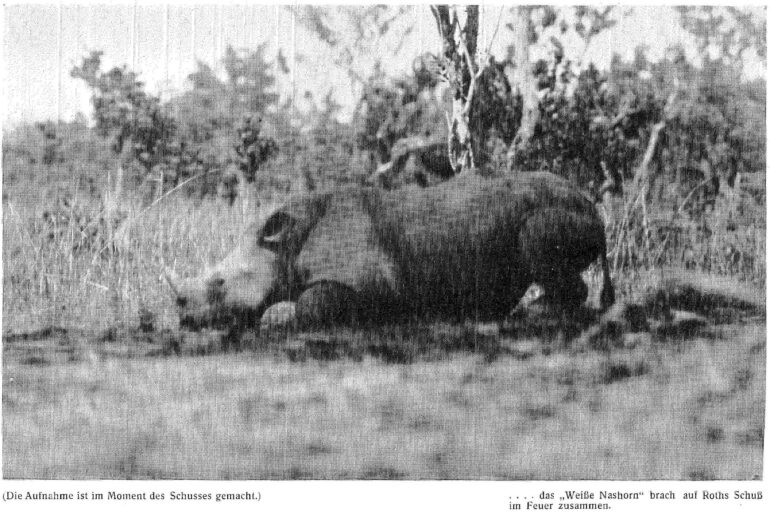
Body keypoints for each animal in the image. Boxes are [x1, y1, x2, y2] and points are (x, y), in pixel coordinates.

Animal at [165, 171, 614, 331]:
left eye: (220, 284)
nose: (186, 320)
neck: (285, 247)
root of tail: (593, 205)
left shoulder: (372, 283)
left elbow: (312, 304)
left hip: (550, 211)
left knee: (537, 244)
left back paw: (538, 313)